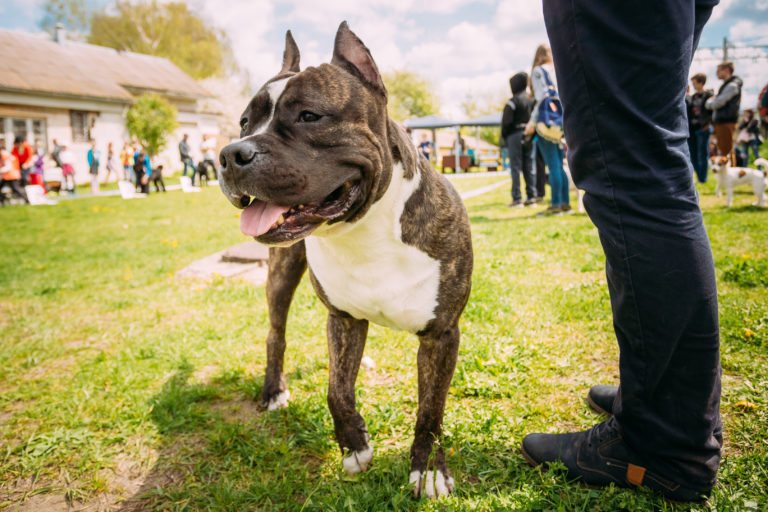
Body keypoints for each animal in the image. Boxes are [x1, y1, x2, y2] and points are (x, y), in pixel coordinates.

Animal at [216, 22, 474, 498]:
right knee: (276, 334)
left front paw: (428, 469)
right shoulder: (343, 319)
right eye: (244, 122)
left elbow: (431, 409)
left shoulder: (441, 335)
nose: (230, 154)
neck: (363, 230)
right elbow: (336, 389)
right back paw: (273, 391)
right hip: (281, 274)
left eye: (309, 116)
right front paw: (354, 446)